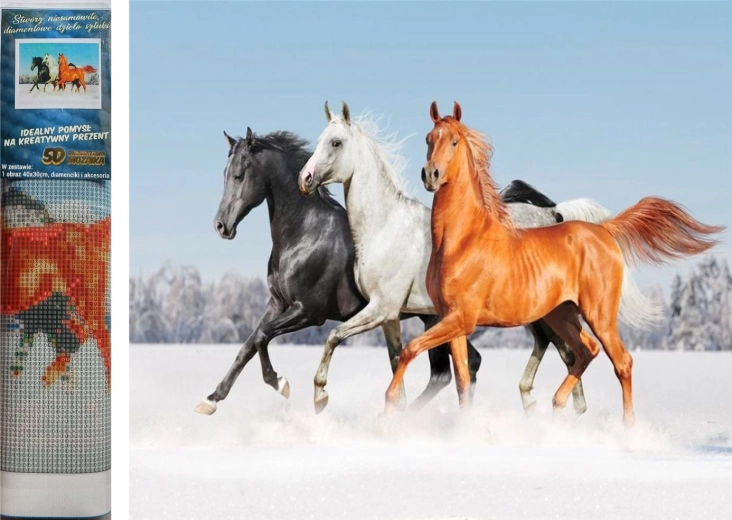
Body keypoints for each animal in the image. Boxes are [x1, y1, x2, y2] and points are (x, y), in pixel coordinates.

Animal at [195, 129, 484, 415]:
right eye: (224, 173)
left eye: (239, 175)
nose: (221, 226)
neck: (305, 233)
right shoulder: (277, 304)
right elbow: (248, 345)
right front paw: (210, 400)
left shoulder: (309, 312)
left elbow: (262, 336)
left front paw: (281, 383)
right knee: (462, 365)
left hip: (434, 318)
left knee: (449, 371)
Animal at [298, 102, 613, 414]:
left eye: (336, 142)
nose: (305, 179)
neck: (385, 225)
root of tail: (554, 214)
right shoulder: (390, 317)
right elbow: (396, 362)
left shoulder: (381, 308)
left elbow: (334, 336)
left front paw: (320, 396)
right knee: (561, 349)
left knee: (566, 351)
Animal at [383, 101, 724, 426]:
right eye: (429, 139)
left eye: (454, 141)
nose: (431, 174)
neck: (462, 240)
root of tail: (604, 230)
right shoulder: (450, 319)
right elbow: (462, 383)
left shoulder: (462, 319)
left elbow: (410, 349)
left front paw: (388, 408)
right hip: (562, 314)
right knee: (585, 351)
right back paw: (557, 406)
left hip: (598, 315)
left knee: (621, 361)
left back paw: (627, 429)